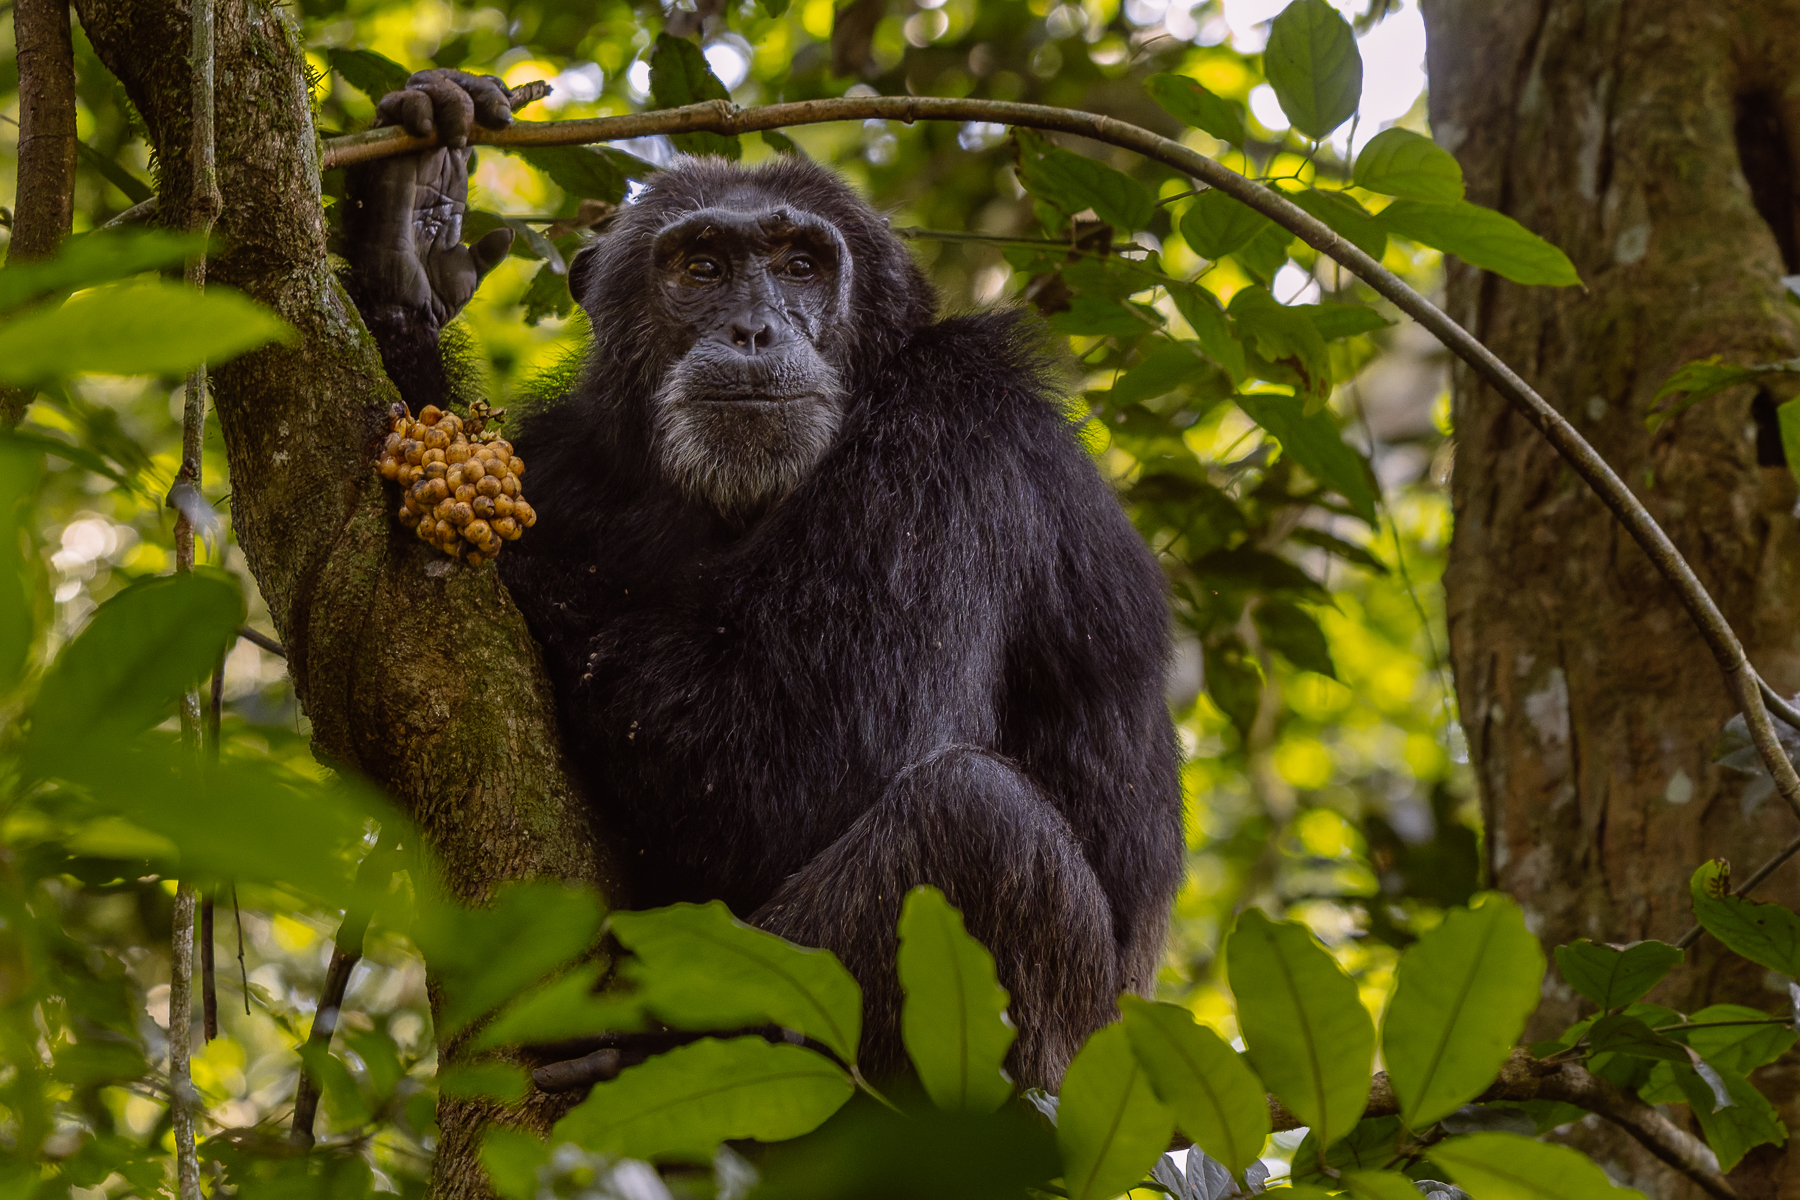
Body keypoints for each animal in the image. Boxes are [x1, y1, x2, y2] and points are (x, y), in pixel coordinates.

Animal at [343, 69, 1184, 1090]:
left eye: (799, 266)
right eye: (702, 266)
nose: (753, 329)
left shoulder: (954, 436)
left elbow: (793, 754)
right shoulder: (567, 454)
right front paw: (405, 243)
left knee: (976, 818)